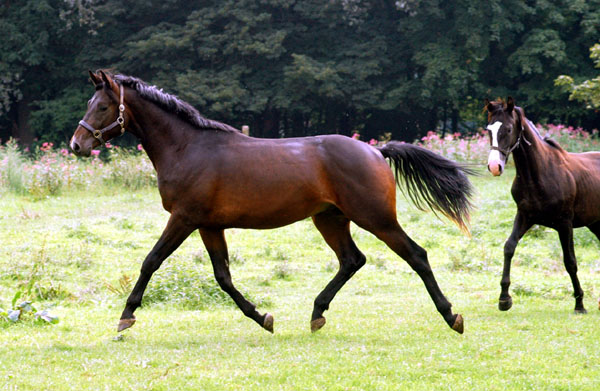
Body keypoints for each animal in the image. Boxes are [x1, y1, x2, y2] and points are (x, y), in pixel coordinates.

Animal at [70, 70, 474, 334]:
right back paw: (316, 314)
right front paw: (263, 317)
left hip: (375, 217)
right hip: (330, 219)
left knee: (416, 255)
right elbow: (224, 277)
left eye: (103, 106)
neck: (188, 148)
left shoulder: (184, 219)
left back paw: (451, 317)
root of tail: (375, 151)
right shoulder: (209, 225)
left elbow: (151, 261)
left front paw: (125, 317)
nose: (77, 145)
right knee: (352, 260)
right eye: (90, 102)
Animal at [486, 96, 600, 314]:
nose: (495, 166)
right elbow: (509, 247)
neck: (539, 174)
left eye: (508, 129)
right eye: (489, 130)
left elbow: (570, 262)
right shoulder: (524, 216)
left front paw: (579, 304)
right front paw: (504, 299)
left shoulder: (565, 224)